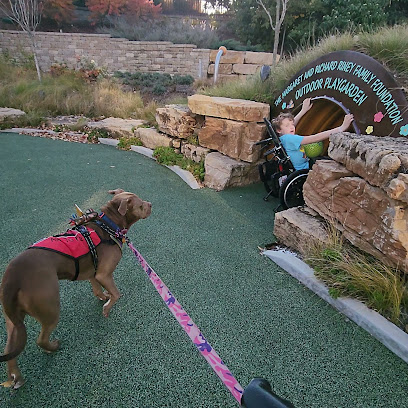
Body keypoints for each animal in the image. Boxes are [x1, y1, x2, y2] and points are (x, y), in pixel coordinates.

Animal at [0, 188, 151, 388]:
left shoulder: (93, 274)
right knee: (40, 339)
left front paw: (103, 297)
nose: (151, 205)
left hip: (13, 320)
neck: (109, 224)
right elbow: (116, 294)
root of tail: (13, 277)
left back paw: (16, 377)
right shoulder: (104, 274)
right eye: (140, 205)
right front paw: (106, 308)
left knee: (10, 349)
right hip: (49, 308)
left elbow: (97, 289)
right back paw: (53, 347)